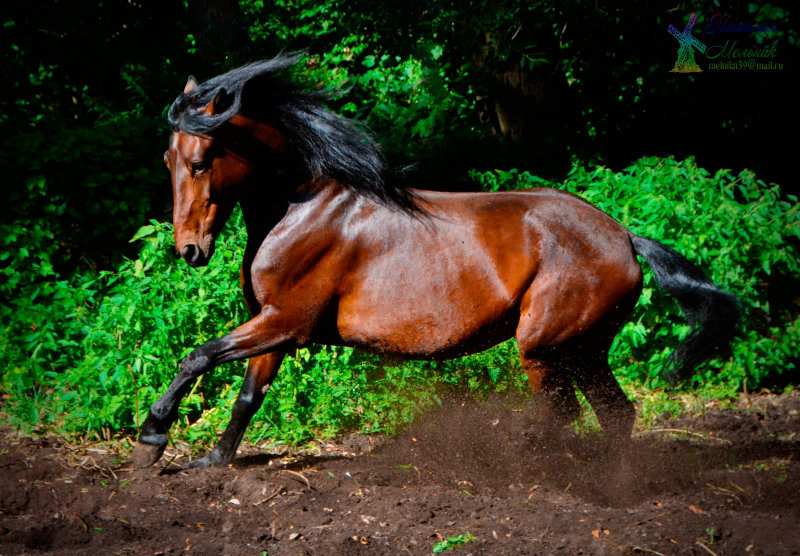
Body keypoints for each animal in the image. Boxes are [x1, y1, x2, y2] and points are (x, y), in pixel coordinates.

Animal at [131, 54, 736, 466]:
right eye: (166, 158)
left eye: (202, 160)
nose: (190, 250)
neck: (300, 208)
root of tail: (625, 239)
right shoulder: (275, 327)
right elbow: (247, 397)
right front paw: (212, 460)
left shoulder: (286, 321)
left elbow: (198, 356)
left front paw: (152, 438)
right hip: (582, 348)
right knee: (616, 413)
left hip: (544, 346)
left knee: (562, 413)